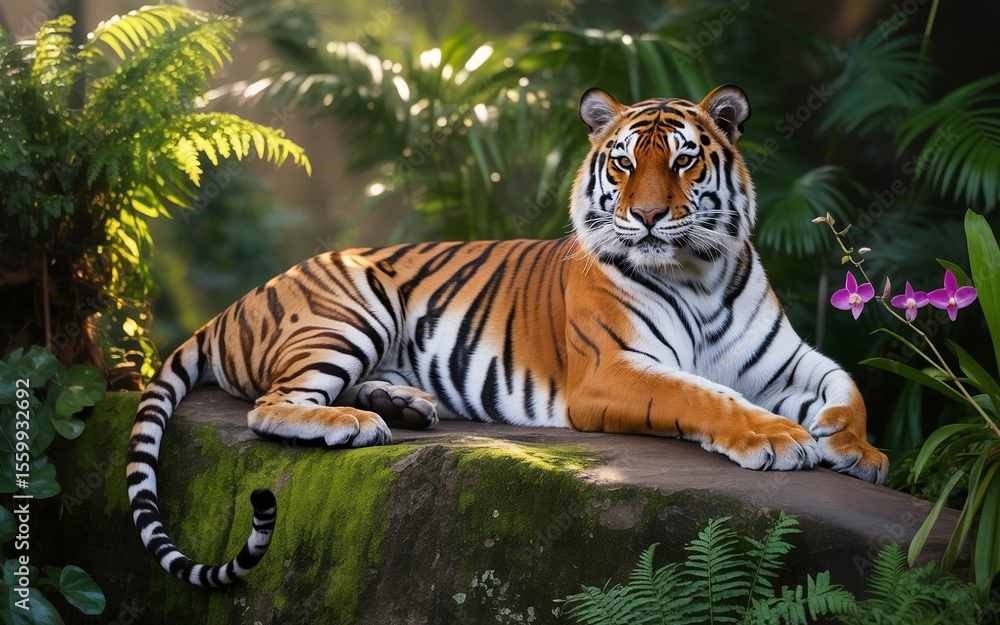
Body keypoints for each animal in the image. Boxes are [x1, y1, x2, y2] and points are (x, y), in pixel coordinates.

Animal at [126, 84, 888, 588]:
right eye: (622, 163)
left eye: (682, 161)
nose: (644, 217)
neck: (697, 270)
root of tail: (236, 303)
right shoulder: (614, 368)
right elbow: (704, 395)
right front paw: (778, 437)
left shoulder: (787, 360)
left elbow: (847, 384)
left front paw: (858, 450)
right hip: (350, 308)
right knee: (271, 406)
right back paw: (354, 423)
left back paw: (406, 406)